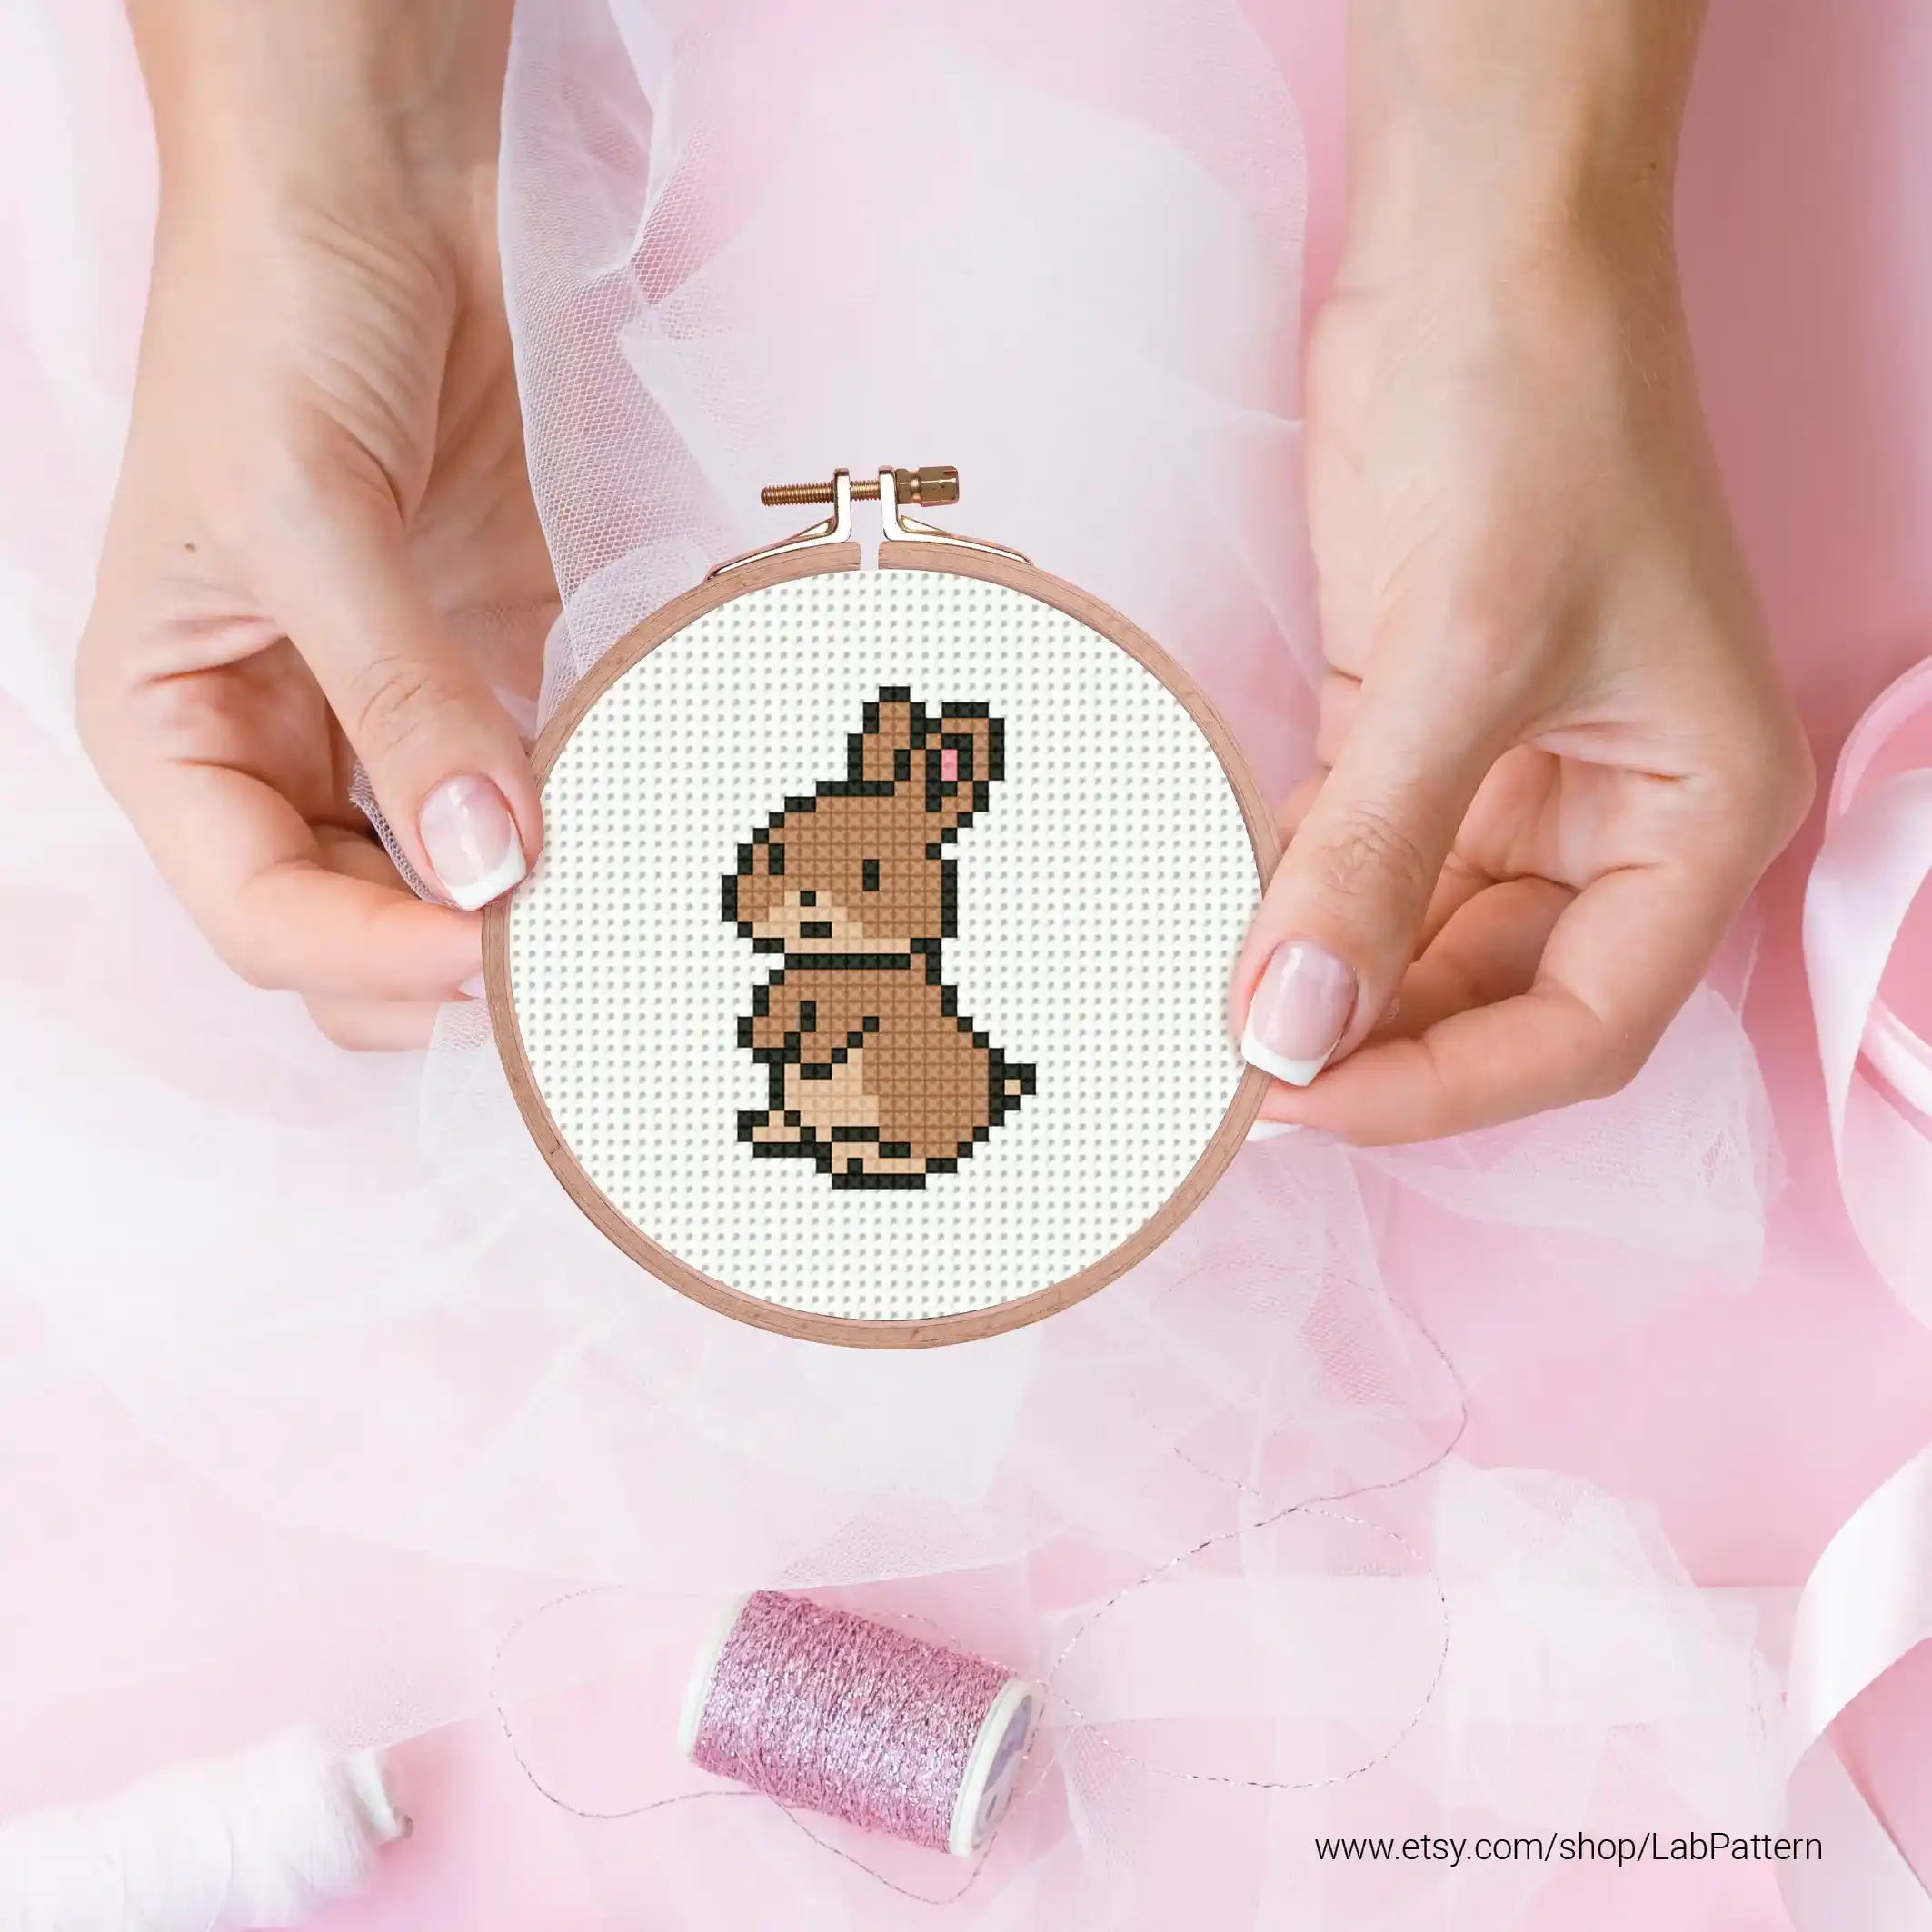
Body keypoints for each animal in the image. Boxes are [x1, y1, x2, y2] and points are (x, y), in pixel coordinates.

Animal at [723, 687, 1034, 1189]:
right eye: (776, 855)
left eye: (873, 872)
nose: (810, 910)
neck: (840, 959)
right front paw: (764, 1039)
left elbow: (840, 1023)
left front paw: (812, 1050)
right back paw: (778, 1131)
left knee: (919, 1153)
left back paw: (871, 1162)